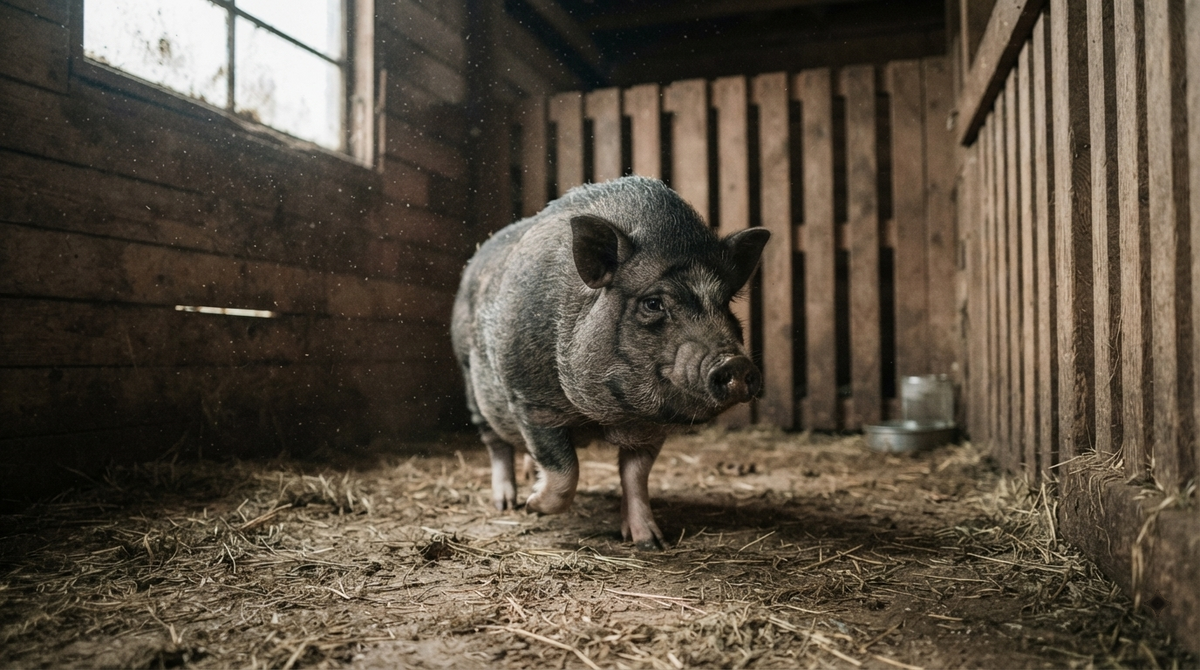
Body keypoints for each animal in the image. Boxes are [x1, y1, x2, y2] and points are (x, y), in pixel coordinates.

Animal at [451, 176, 770, 550]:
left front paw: (651, 543)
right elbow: (564, 470)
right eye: (653, 303)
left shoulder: (650, 427)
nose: (736, 363)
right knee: (496, 444)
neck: (609, 417)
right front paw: (533, 507)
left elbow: (635, 476)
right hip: (471, 381)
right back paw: (507, 502)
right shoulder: (531, 402)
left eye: (726, 304)